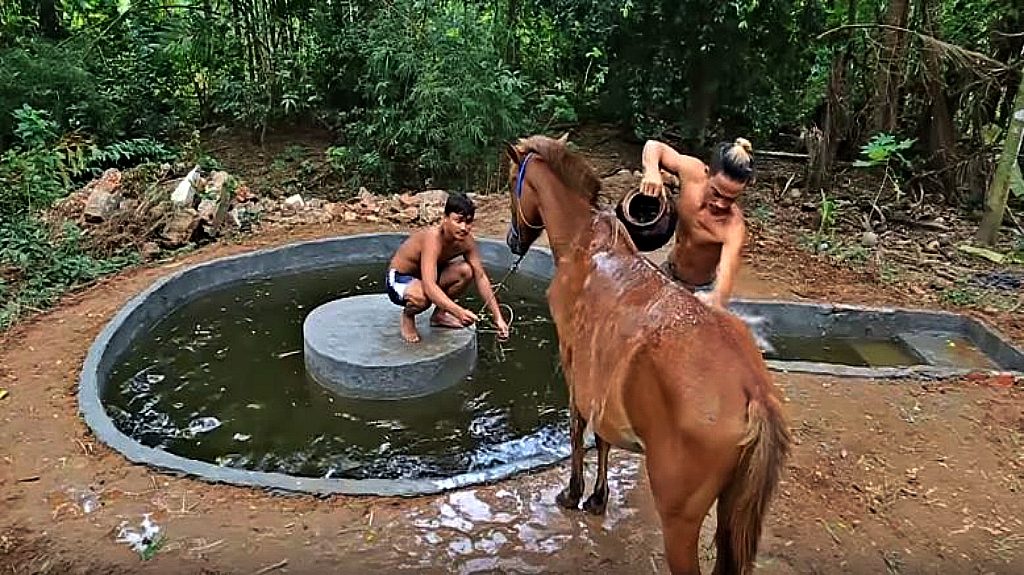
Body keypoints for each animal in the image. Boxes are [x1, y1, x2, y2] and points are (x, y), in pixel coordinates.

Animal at [502, 134, 791, 575]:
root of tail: (753, 392)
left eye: (509, 186)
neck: (585, 243)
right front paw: (598, 498)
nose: (513, 241)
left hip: (679, 521)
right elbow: (601, 438)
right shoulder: (599, 377)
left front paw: (574, 493)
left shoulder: (573, 363)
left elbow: (577, 428)